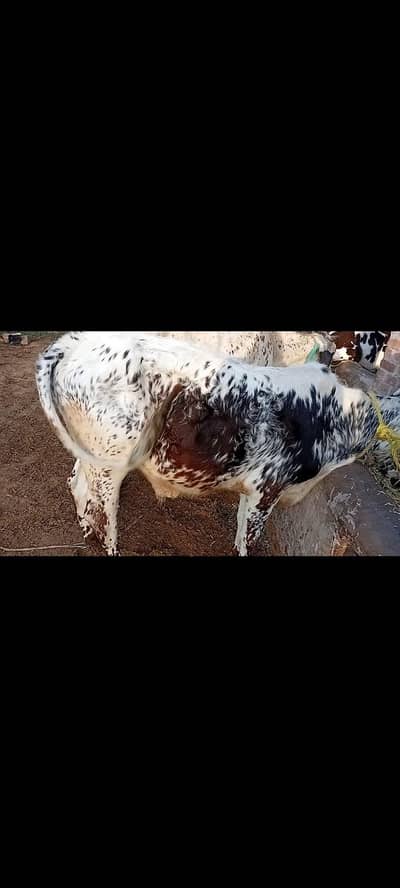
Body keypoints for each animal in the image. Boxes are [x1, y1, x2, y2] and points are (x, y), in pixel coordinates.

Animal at [36, 332, 400, 557]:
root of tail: (72, 343)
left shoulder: (251, 491)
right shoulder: (266, 490)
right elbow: (247, 541)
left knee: (80, 488)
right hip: (109, 464)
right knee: (103, 514)